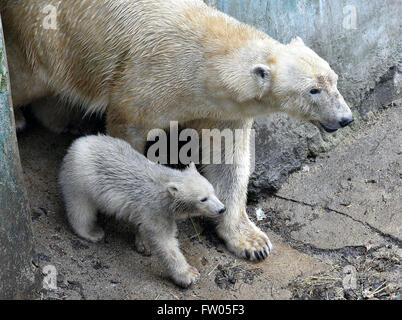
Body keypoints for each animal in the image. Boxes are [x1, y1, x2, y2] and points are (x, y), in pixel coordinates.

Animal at [0, 0, 354, 260]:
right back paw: (17, 119)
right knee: (25, 77)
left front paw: (252, 242)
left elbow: (228, 160)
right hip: (44, 35)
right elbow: (128, 134)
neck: (204, 67)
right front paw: (146, 237)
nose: (346, 118)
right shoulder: (148, 83)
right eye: (313, 90)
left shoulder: (223, 110)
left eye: (334, 79)